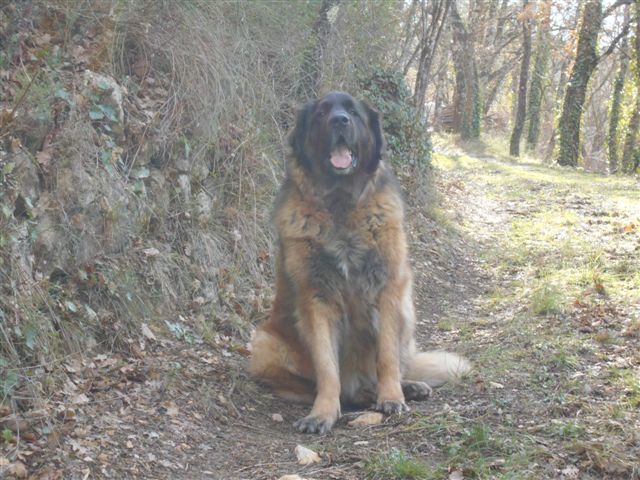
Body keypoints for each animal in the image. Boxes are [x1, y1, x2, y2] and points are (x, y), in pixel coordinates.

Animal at [250, 92, 469, 433]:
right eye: (322, 113)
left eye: (352, 112)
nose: (340, 121)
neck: (341, 203)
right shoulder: (317, 299)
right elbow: (327, 368)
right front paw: (323, 412)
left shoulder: (389, 290)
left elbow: (387, 356)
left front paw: (391, 396)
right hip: (264, 344)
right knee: (328, 386)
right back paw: (358, 395)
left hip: (407, 311)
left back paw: (404, 387)